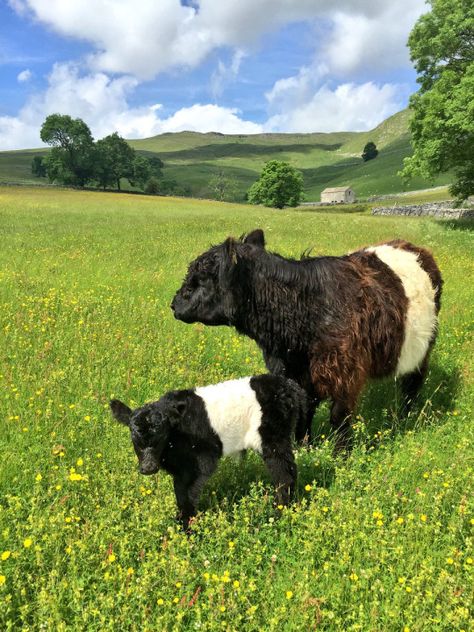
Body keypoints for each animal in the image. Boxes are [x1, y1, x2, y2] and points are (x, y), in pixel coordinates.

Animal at [110, 376, 308, 528]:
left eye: (162, 435)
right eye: (133, 436)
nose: (149, 467)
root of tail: (287, 384)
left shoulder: (199, 462)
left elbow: (185, 494)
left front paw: (185, 527)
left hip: (273, 440)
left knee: (284, 474)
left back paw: (279, 510)